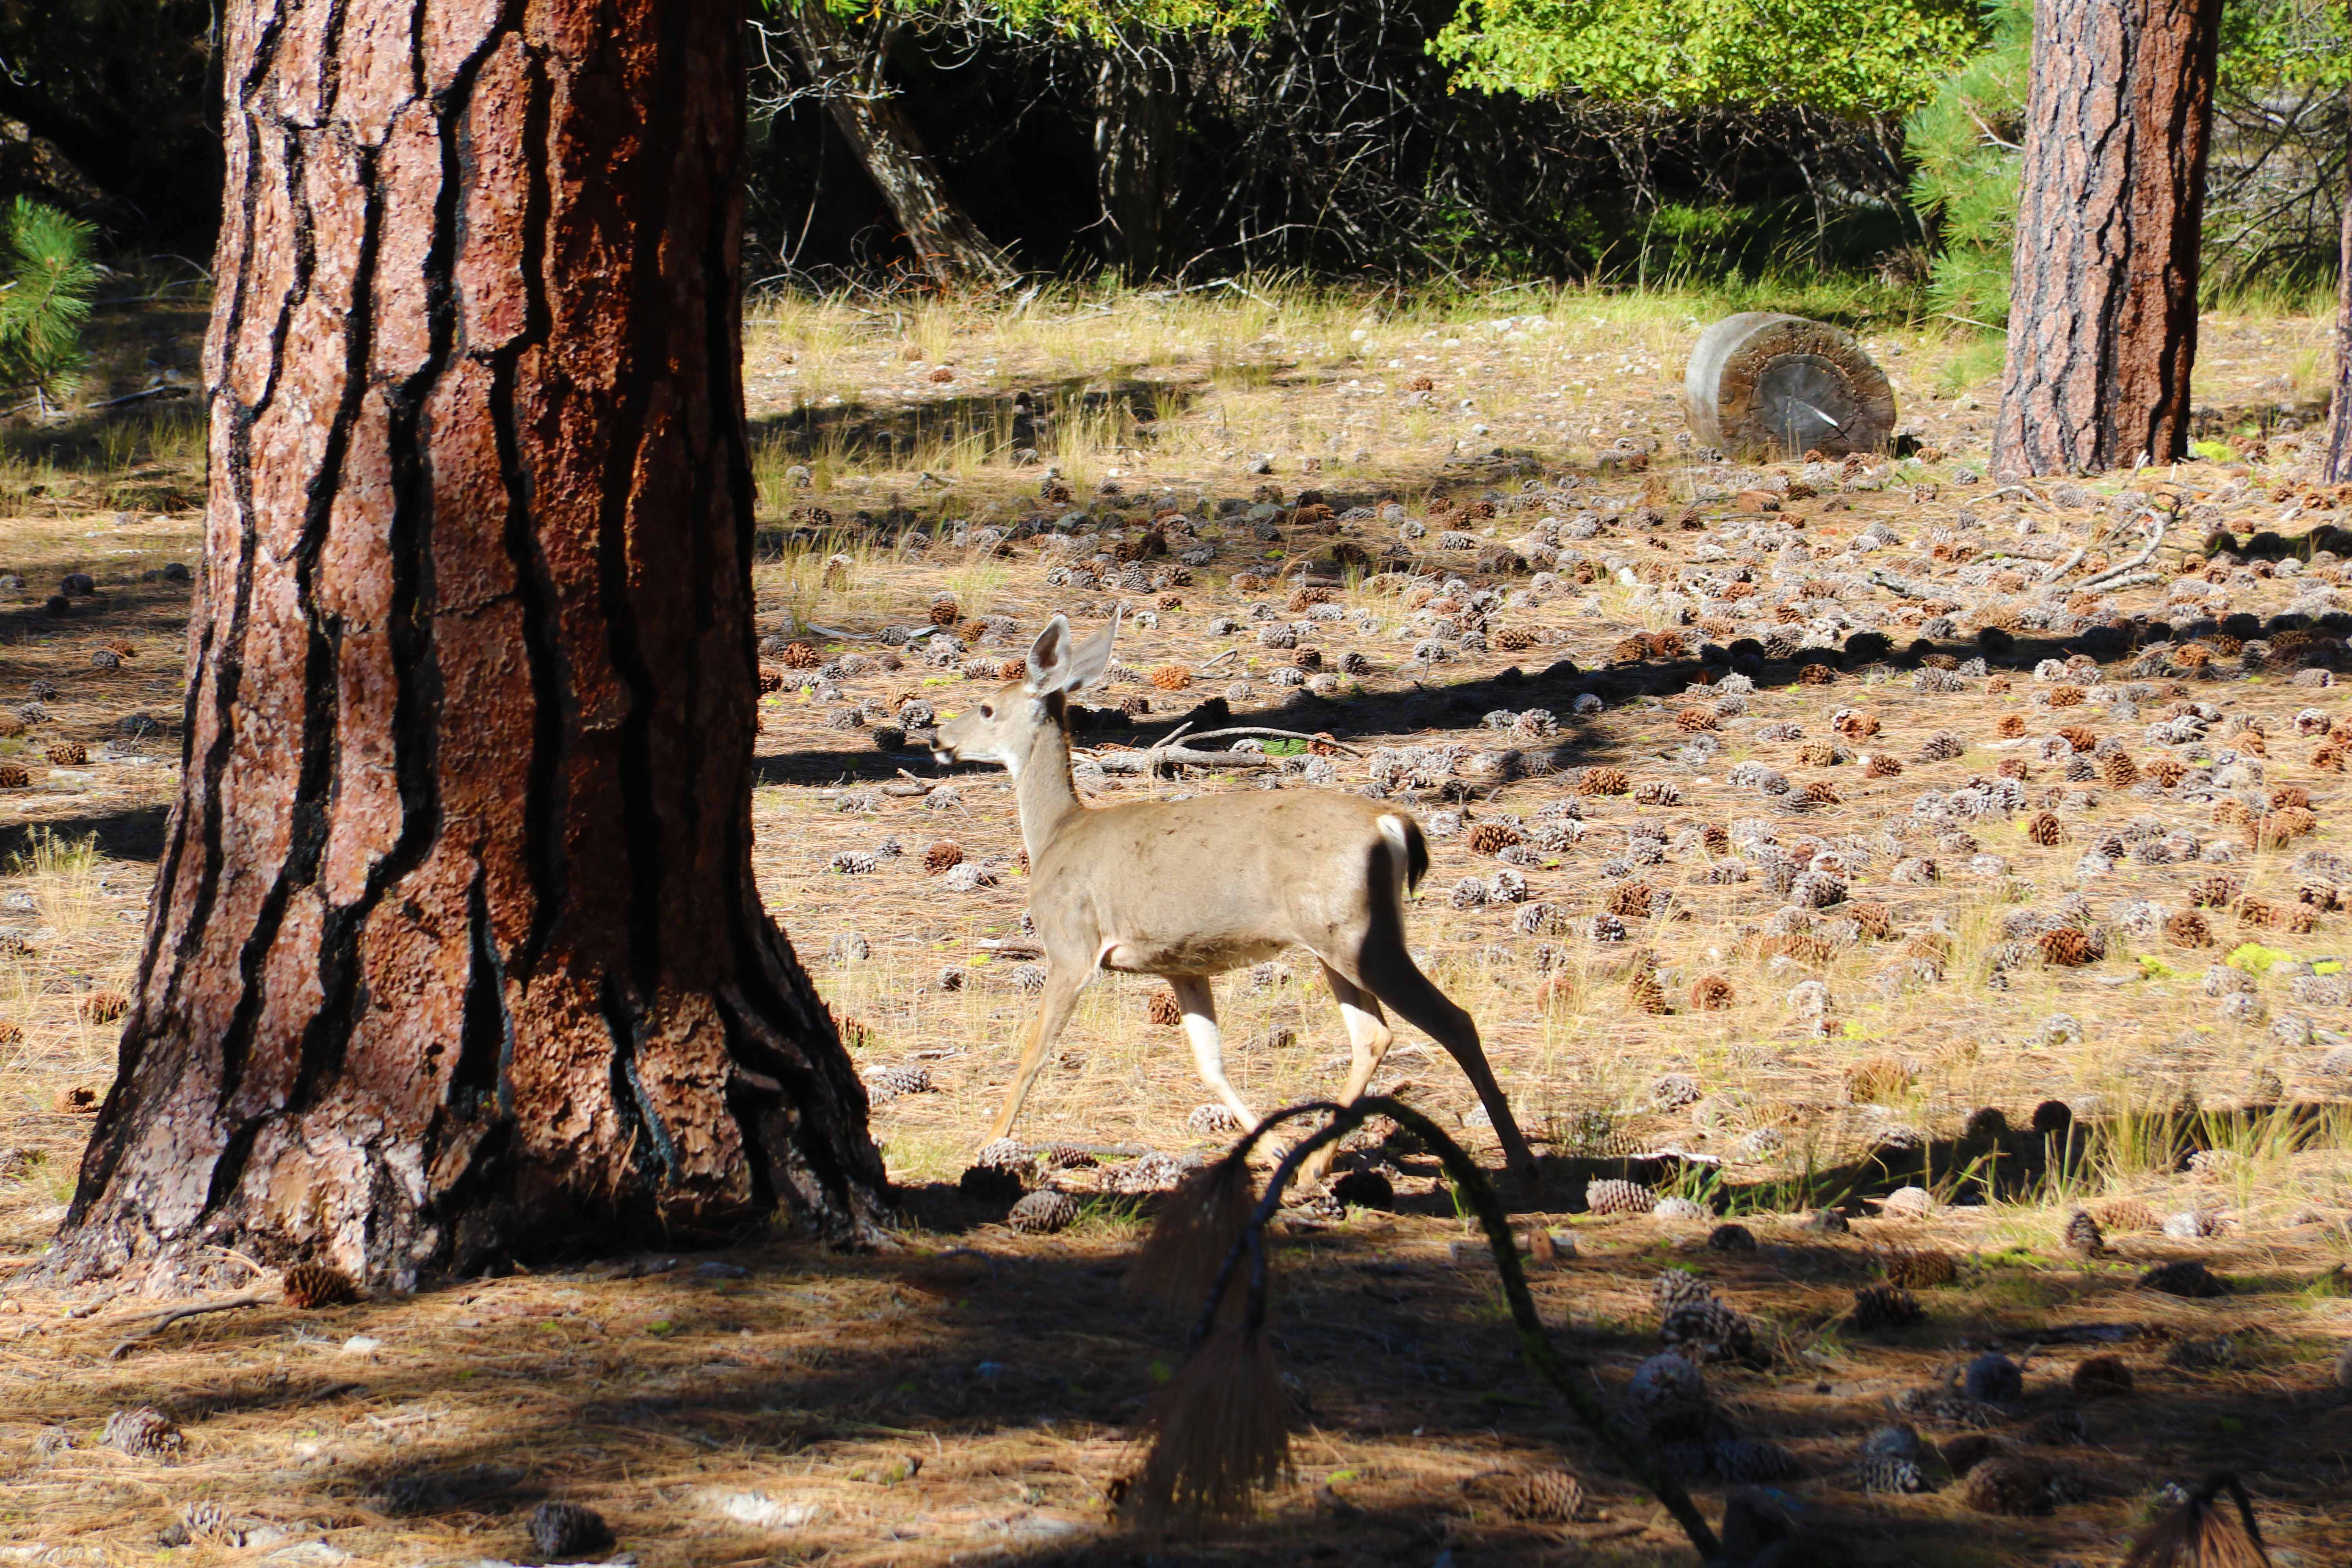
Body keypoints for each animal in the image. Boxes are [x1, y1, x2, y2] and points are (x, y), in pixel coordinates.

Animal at [929, 611, 1538, 1188]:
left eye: (986, 707)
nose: (938, 740)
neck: (1057, 834)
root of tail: (1391, 822)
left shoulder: (1071, 943)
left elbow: (1035, 1050)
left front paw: (990, 1142)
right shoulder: (1180, 964)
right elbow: (1210, 1064)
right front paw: (1271, 1150)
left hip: (1359, 935)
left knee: (1453, 1020)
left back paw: (1522, 1159)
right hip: (1336, 940)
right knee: (1373, 1034)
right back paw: (1314, 1167)